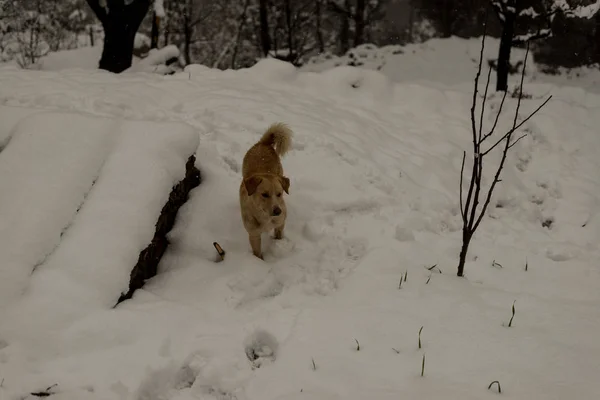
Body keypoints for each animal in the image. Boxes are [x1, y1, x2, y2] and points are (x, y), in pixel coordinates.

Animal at [240, 122, 294, 260]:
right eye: (264, 194)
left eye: (279, 194)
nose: (278, 211)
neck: (265, 217)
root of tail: (263, 143)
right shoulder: (253, 235)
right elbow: (257, 253)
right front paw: (259, 262)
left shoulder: (280, 224)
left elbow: (278, 235)